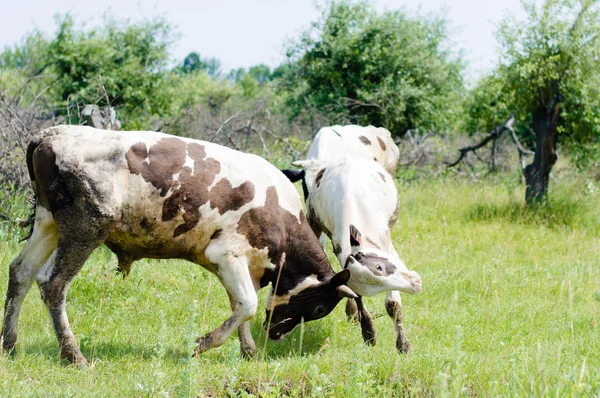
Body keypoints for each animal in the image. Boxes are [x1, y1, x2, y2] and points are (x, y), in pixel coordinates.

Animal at [1, 124, 356, 366]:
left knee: (21, 271)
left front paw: (249, 350)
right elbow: (248, 305)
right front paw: (201, 344)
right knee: (52, 282)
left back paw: (10, 344)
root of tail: (52, 134)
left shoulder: (240, 265)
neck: (279, 212)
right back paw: (74, 356)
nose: (276, 334)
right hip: (86, 228)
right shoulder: (226, 253)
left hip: (48, 223)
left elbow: (239, 307)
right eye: (320, 308)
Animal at [284, 157, 420, 352]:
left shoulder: (388, 248)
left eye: (379, 267)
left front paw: (403, 344)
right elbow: (355, 295)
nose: (416, 283)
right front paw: (368, 331)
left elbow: (392, 305)